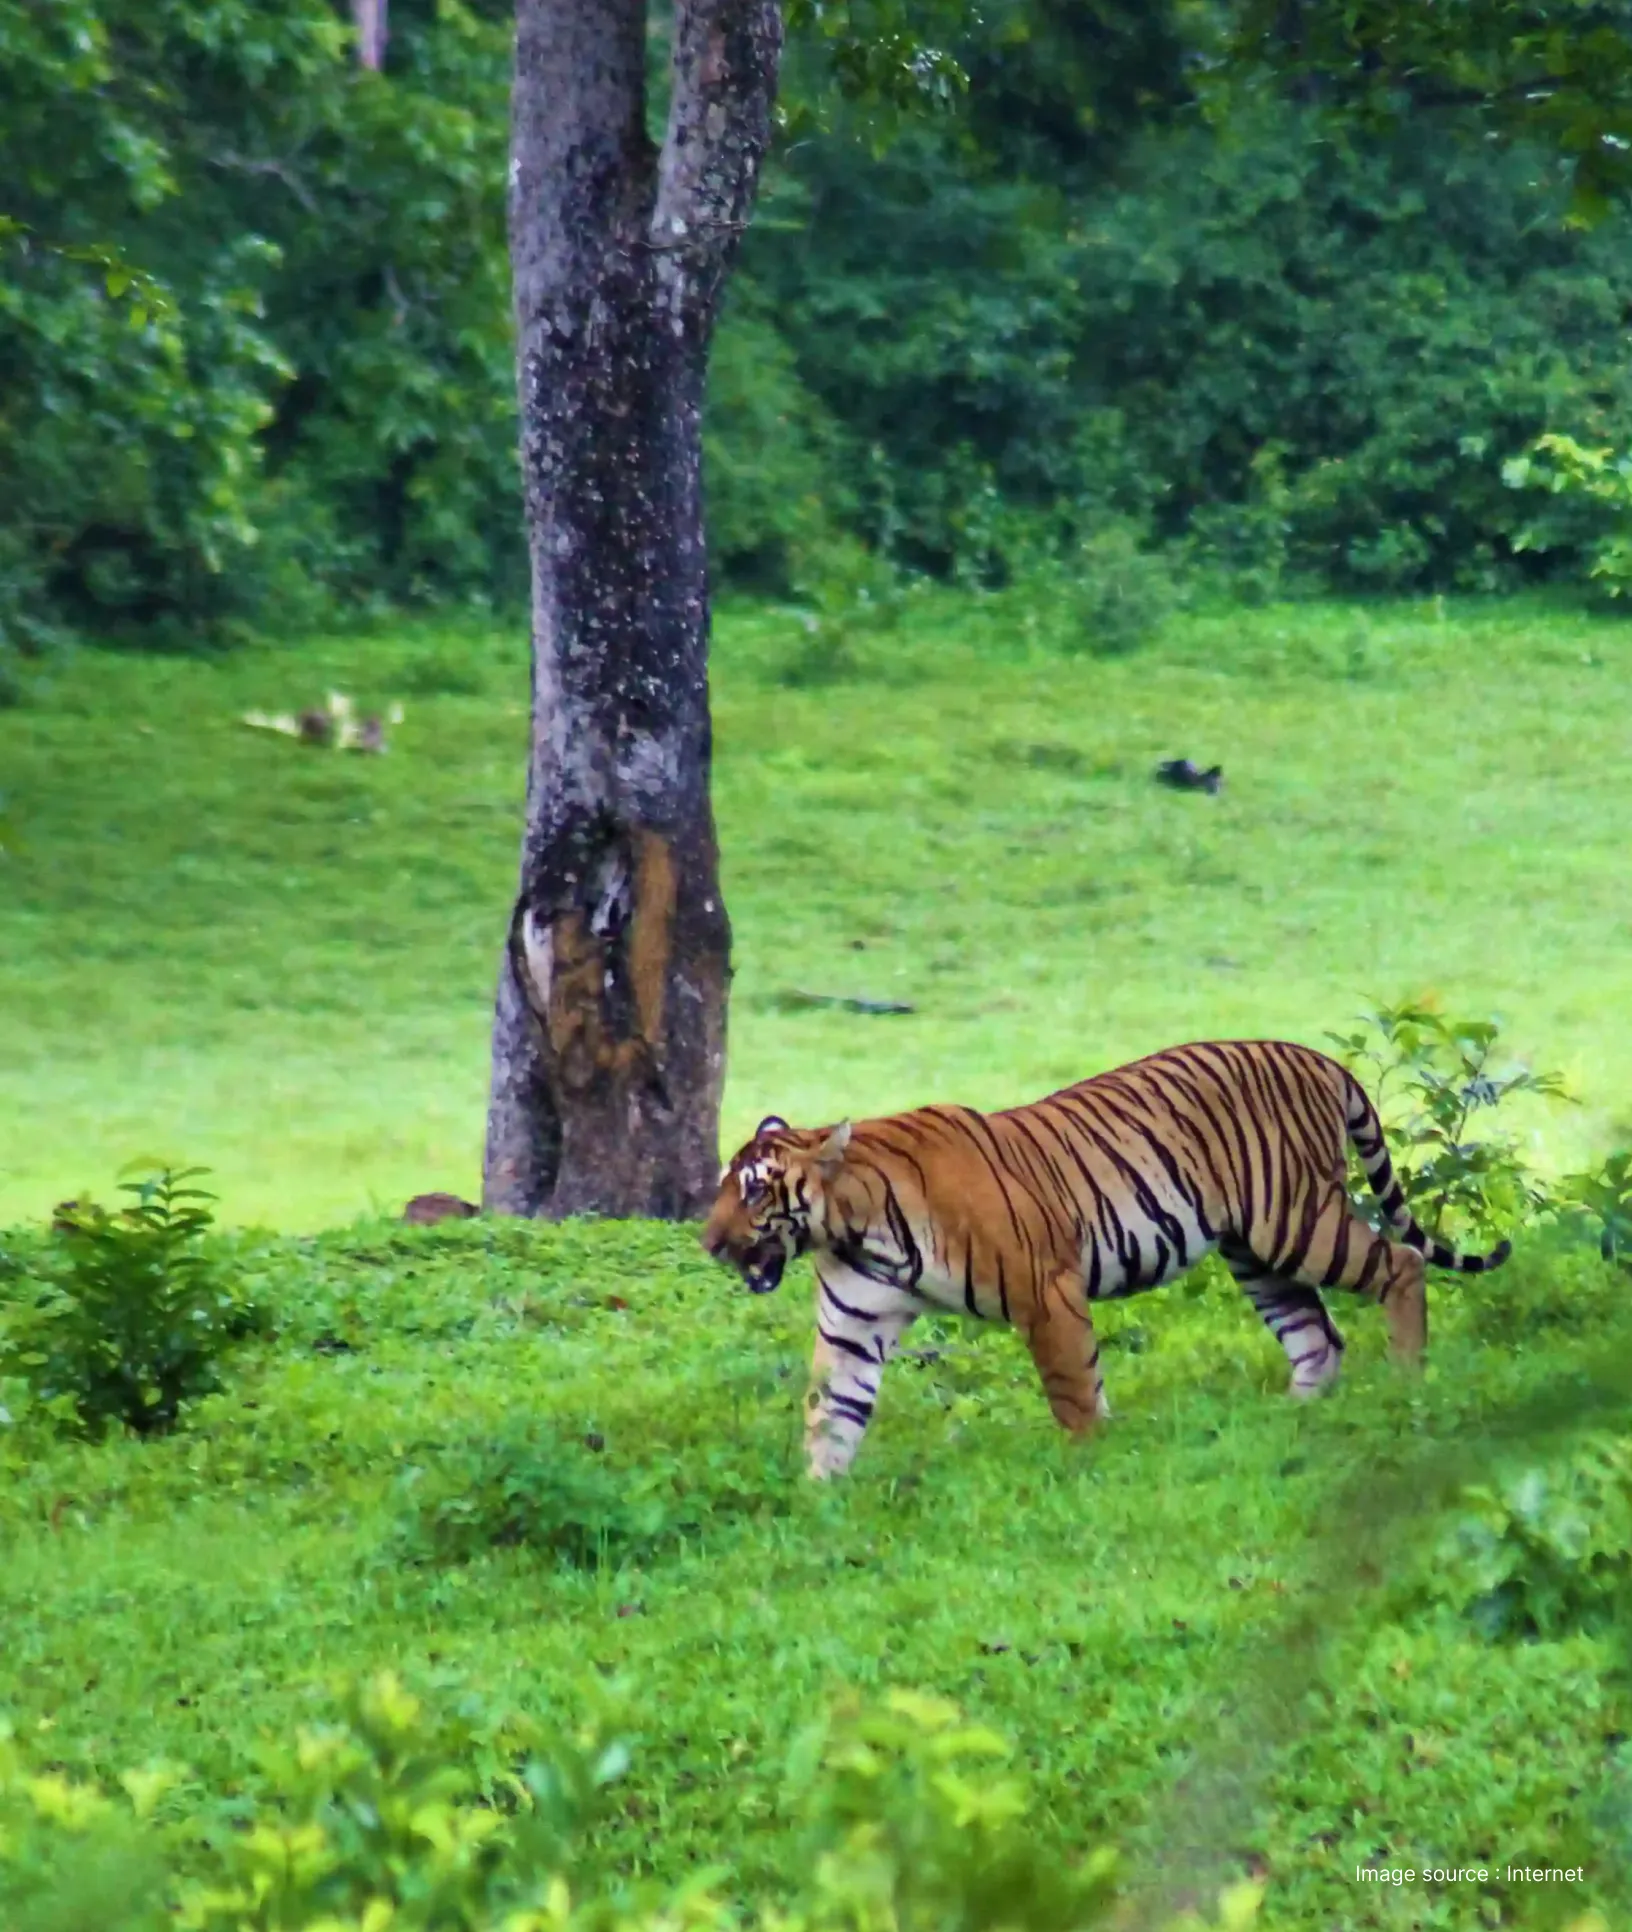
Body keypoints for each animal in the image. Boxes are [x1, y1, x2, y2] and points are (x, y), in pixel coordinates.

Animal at [700, 1039, 1511, 1478]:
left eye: (754, 1190)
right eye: (724, 1188)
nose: (707, 1242)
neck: (852, 1227)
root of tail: (1316, 1057)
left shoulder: (1045, 1288)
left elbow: (1073, 1389)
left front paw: (1087, 1462)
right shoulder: (852, 1325)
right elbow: (831, 1412)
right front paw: (818, 1497)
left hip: (1296, 1220)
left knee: (1401, 1264)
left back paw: (1408, 1381)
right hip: (1255, 1253)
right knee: (1317, 1335)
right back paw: (1295, 1416)